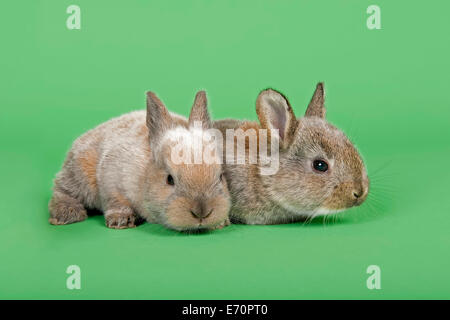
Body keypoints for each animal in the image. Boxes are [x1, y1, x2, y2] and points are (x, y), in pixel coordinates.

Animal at [48, 91, 232, 231]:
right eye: (169, 179)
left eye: (220, 177)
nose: (202, 213)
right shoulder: (111, 180)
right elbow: (116, 201)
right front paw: (121, 220)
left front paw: (222, 223)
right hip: (80, 173)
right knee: (62, 190)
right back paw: (67, 214)